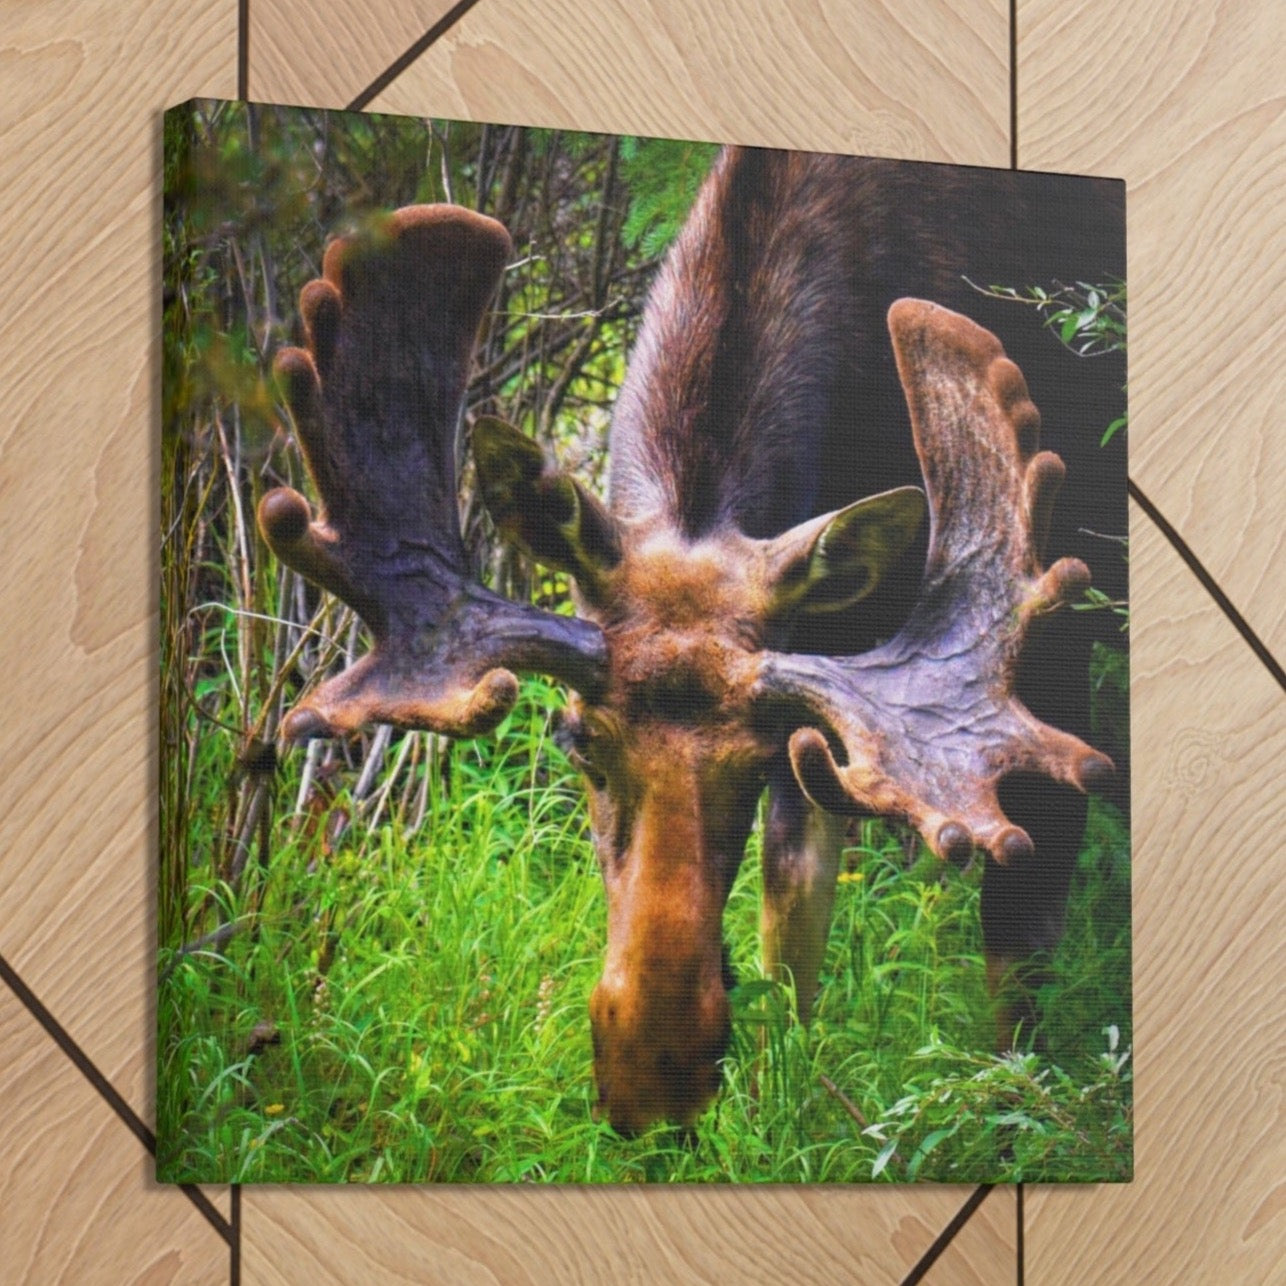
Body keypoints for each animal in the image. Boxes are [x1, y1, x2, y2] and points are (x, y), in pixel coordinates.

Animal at [259, 146, 1126, 1138]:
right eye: (576, 740)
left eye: (750, 760)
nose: (656, 1080)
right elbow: (793, 920)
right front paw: (780, 1088)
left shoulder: (1041, 660)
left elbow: (1018, 965)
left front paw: (1021, 1117)